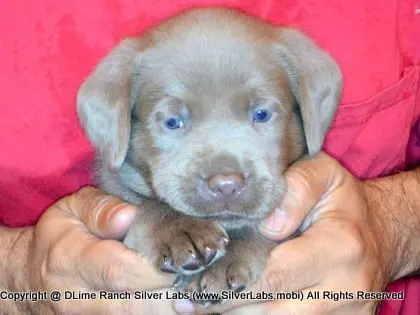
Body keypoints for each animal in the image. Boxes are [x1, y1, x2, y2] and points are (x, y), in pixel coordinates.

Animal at [77, 7, 342, 302]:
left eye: (262, 114)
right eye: (172, 121)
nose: (226, 185)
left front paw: (224, 262)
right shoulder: (114, 184)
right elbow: (148, 204)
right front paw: (179, 229)